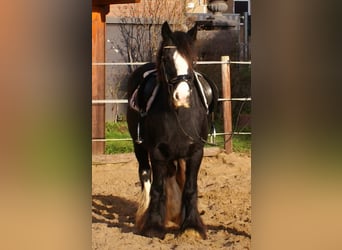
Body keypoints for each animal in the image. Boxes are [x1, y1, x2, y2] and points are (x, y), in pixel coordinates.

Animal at [127, 22, 218, 239]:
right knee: (145, 174)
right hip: (139, 147)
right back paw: (145, 215)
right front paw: (153, 226)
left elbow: (190, 188)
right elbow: (157, 188)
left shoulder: (195, 152)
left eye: (193, 60)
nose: (182, 96)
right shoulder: (157, 152)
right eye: (167, 59)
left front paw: (191, 225)